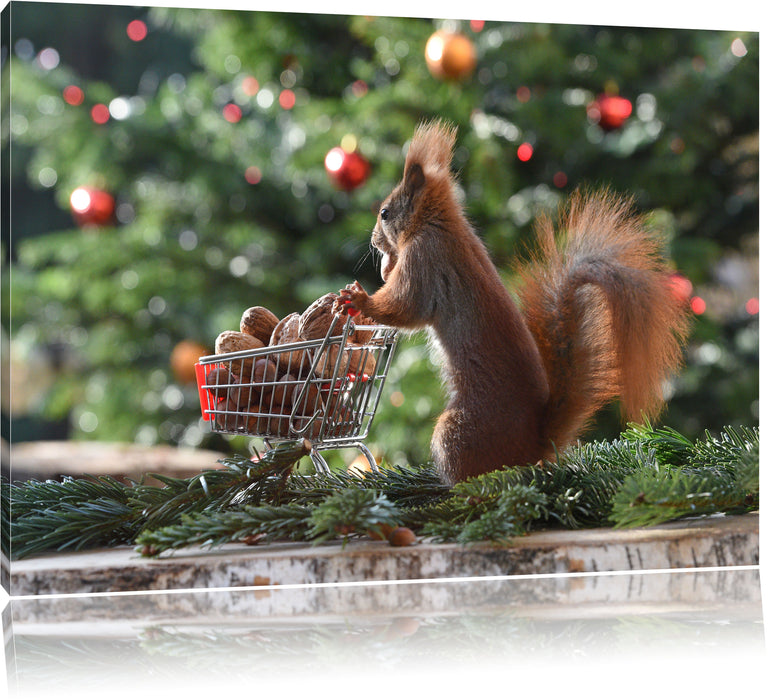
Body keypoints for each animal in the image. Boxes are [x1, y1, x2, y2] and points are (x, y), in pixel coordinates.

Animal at [338, 120, 692, 484]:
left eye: (384, 213)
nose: (373, 242)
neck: (440, 224)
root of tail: (535, 445)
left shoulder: (426, 259)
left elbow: (405, 307)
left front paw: (360, 299)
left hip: (456, 432)